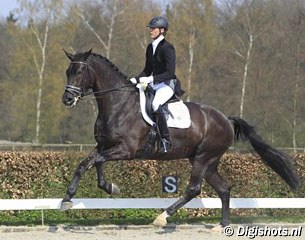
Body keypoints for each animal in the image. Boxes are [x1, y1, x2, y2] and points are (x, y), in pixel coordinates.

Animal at [60, 49, 298, 227]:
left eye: (79, 71)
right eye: (67, 71)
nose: (67, 99)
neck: (119, 105)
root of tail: (226, 119)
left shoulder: (126, 150)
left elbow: (93, 162)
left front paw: (81, 195)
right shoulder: (103, 145)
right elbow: (88, 164)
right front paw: (91, 192)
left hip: (203, 157)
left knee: (194, 189)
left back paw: (162, 217)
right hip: (207, 161)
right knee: (223, 189)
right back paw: (222, 225)